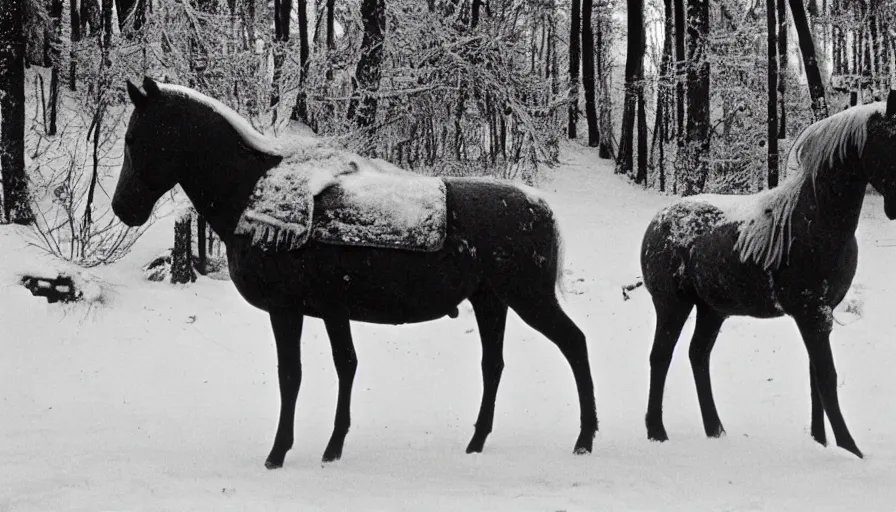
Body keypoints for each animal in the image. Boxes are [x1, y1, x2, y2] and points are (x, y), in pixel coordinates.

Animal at [112, 77, 600, 468]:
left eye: (135, 138)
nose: (122, 208)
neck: (248, 196)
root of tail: (539, 205)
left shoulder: (288, 309)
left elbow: (294, 375)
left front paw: (281, 452)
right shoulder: (331, 309)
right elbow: (343, 366)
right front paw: (332, 445)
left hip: (528, 297)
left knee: (575, 344)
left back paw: (585, 436)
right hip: (490, 301)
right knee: (493, 363)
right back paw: (477, 440)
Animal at [644, 93, 896, 460]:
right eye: (891, 141)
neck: (815, 221)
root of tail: (657, 223)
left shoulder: (821, 315)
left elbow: (815, 378)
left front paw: (820, 442)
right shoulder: (812, 313)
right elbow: (827, 377)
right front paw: (850, 450)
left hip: (711, 310)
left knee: (697, 355)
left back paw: (715, 430)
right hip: (672, 305)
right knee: (660, 357)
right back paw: (656, 432)